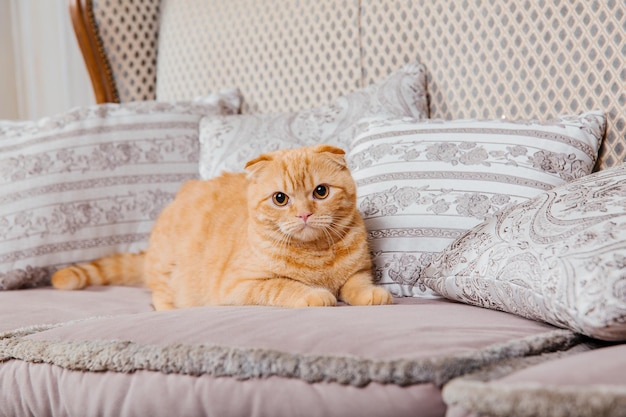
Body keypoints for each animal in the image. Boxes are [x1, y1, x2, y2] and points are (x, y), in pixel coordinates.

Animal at [52, 144, 390, 308]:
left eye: (321, 192)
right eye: (280, 199)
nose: (304, 215)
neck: (316, 255)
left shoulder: (359, 270)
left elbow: (356, 284)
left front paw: (372, 294)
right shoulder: (242, 285)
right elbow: (283, 285)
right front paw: (314, 294)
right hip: (167, 273)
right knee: (160, 298)